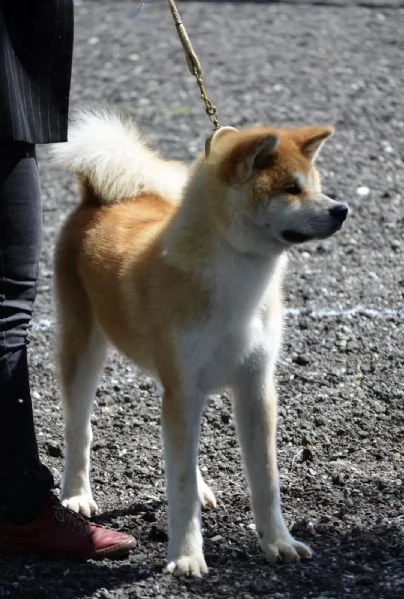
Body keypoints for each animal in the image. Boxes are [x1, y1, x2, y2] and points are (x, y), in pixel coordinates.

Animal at [51, 112, 348, 576]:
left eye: (316, 184)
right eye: (291, 189)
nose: (342, 209)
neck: (240, 280)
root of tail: (97, 200)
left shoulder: (255, 387)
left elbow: (265, 482)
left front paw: (279, 543)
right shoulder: (185, 388)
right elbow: (180, 486)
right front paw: (187, 556)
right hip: (85, 349)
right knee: (80, 428)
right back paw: (77, 495)